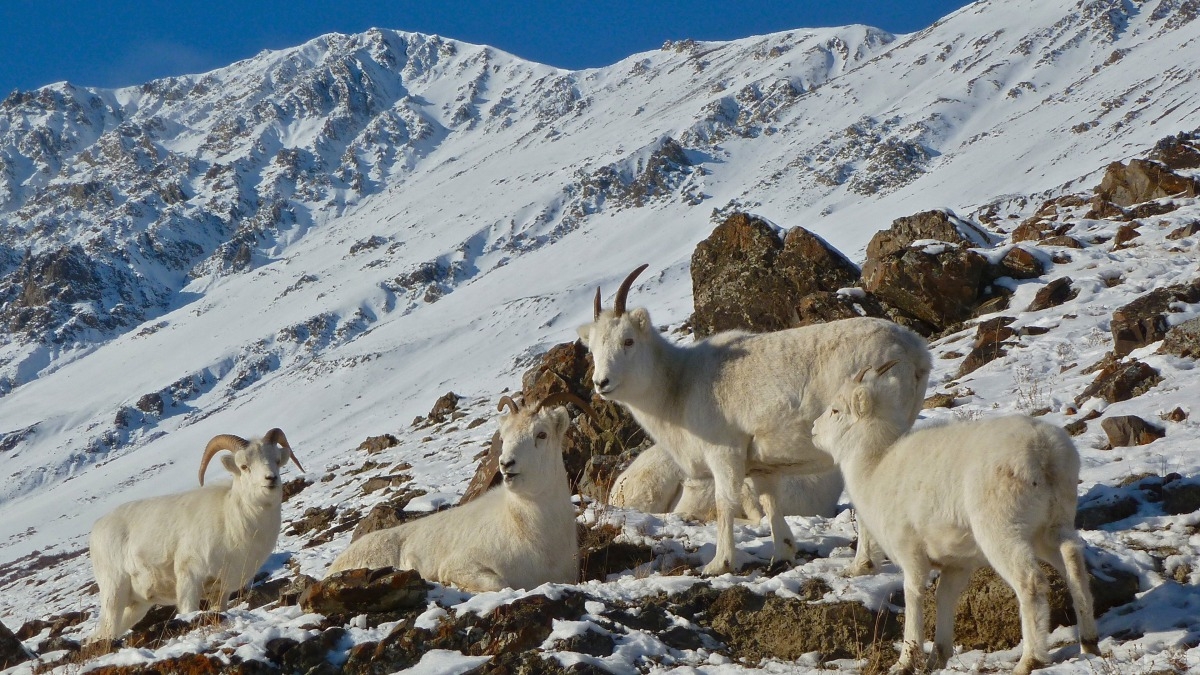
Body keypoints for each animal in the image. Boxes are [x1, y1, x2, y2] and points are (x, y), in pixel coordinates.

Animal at [88, 427, 302, 638]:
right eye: (244, 466)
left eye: (276, 460)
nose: (271, 479)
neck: (231, 523)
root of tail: (97, 528)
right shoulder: (190, 581)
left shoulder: (221, 592)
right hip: (114, 594)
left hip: (135, 606)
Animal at [811, 362, 1099, 672]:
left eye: (836, 410)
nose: (813, 429)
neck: (874, 466)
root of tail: (1044, 451)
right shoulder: (955, 565)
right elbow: (944, 598)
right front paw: (938, 658)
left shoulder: (910, 553)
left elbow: (914, 595)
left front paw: (905, 662)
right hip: (1050, 528)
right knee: (1073, 560)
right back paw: (1089, 642)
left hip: (1002, 533)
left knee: (1031, 582)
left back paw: (1029, 661)